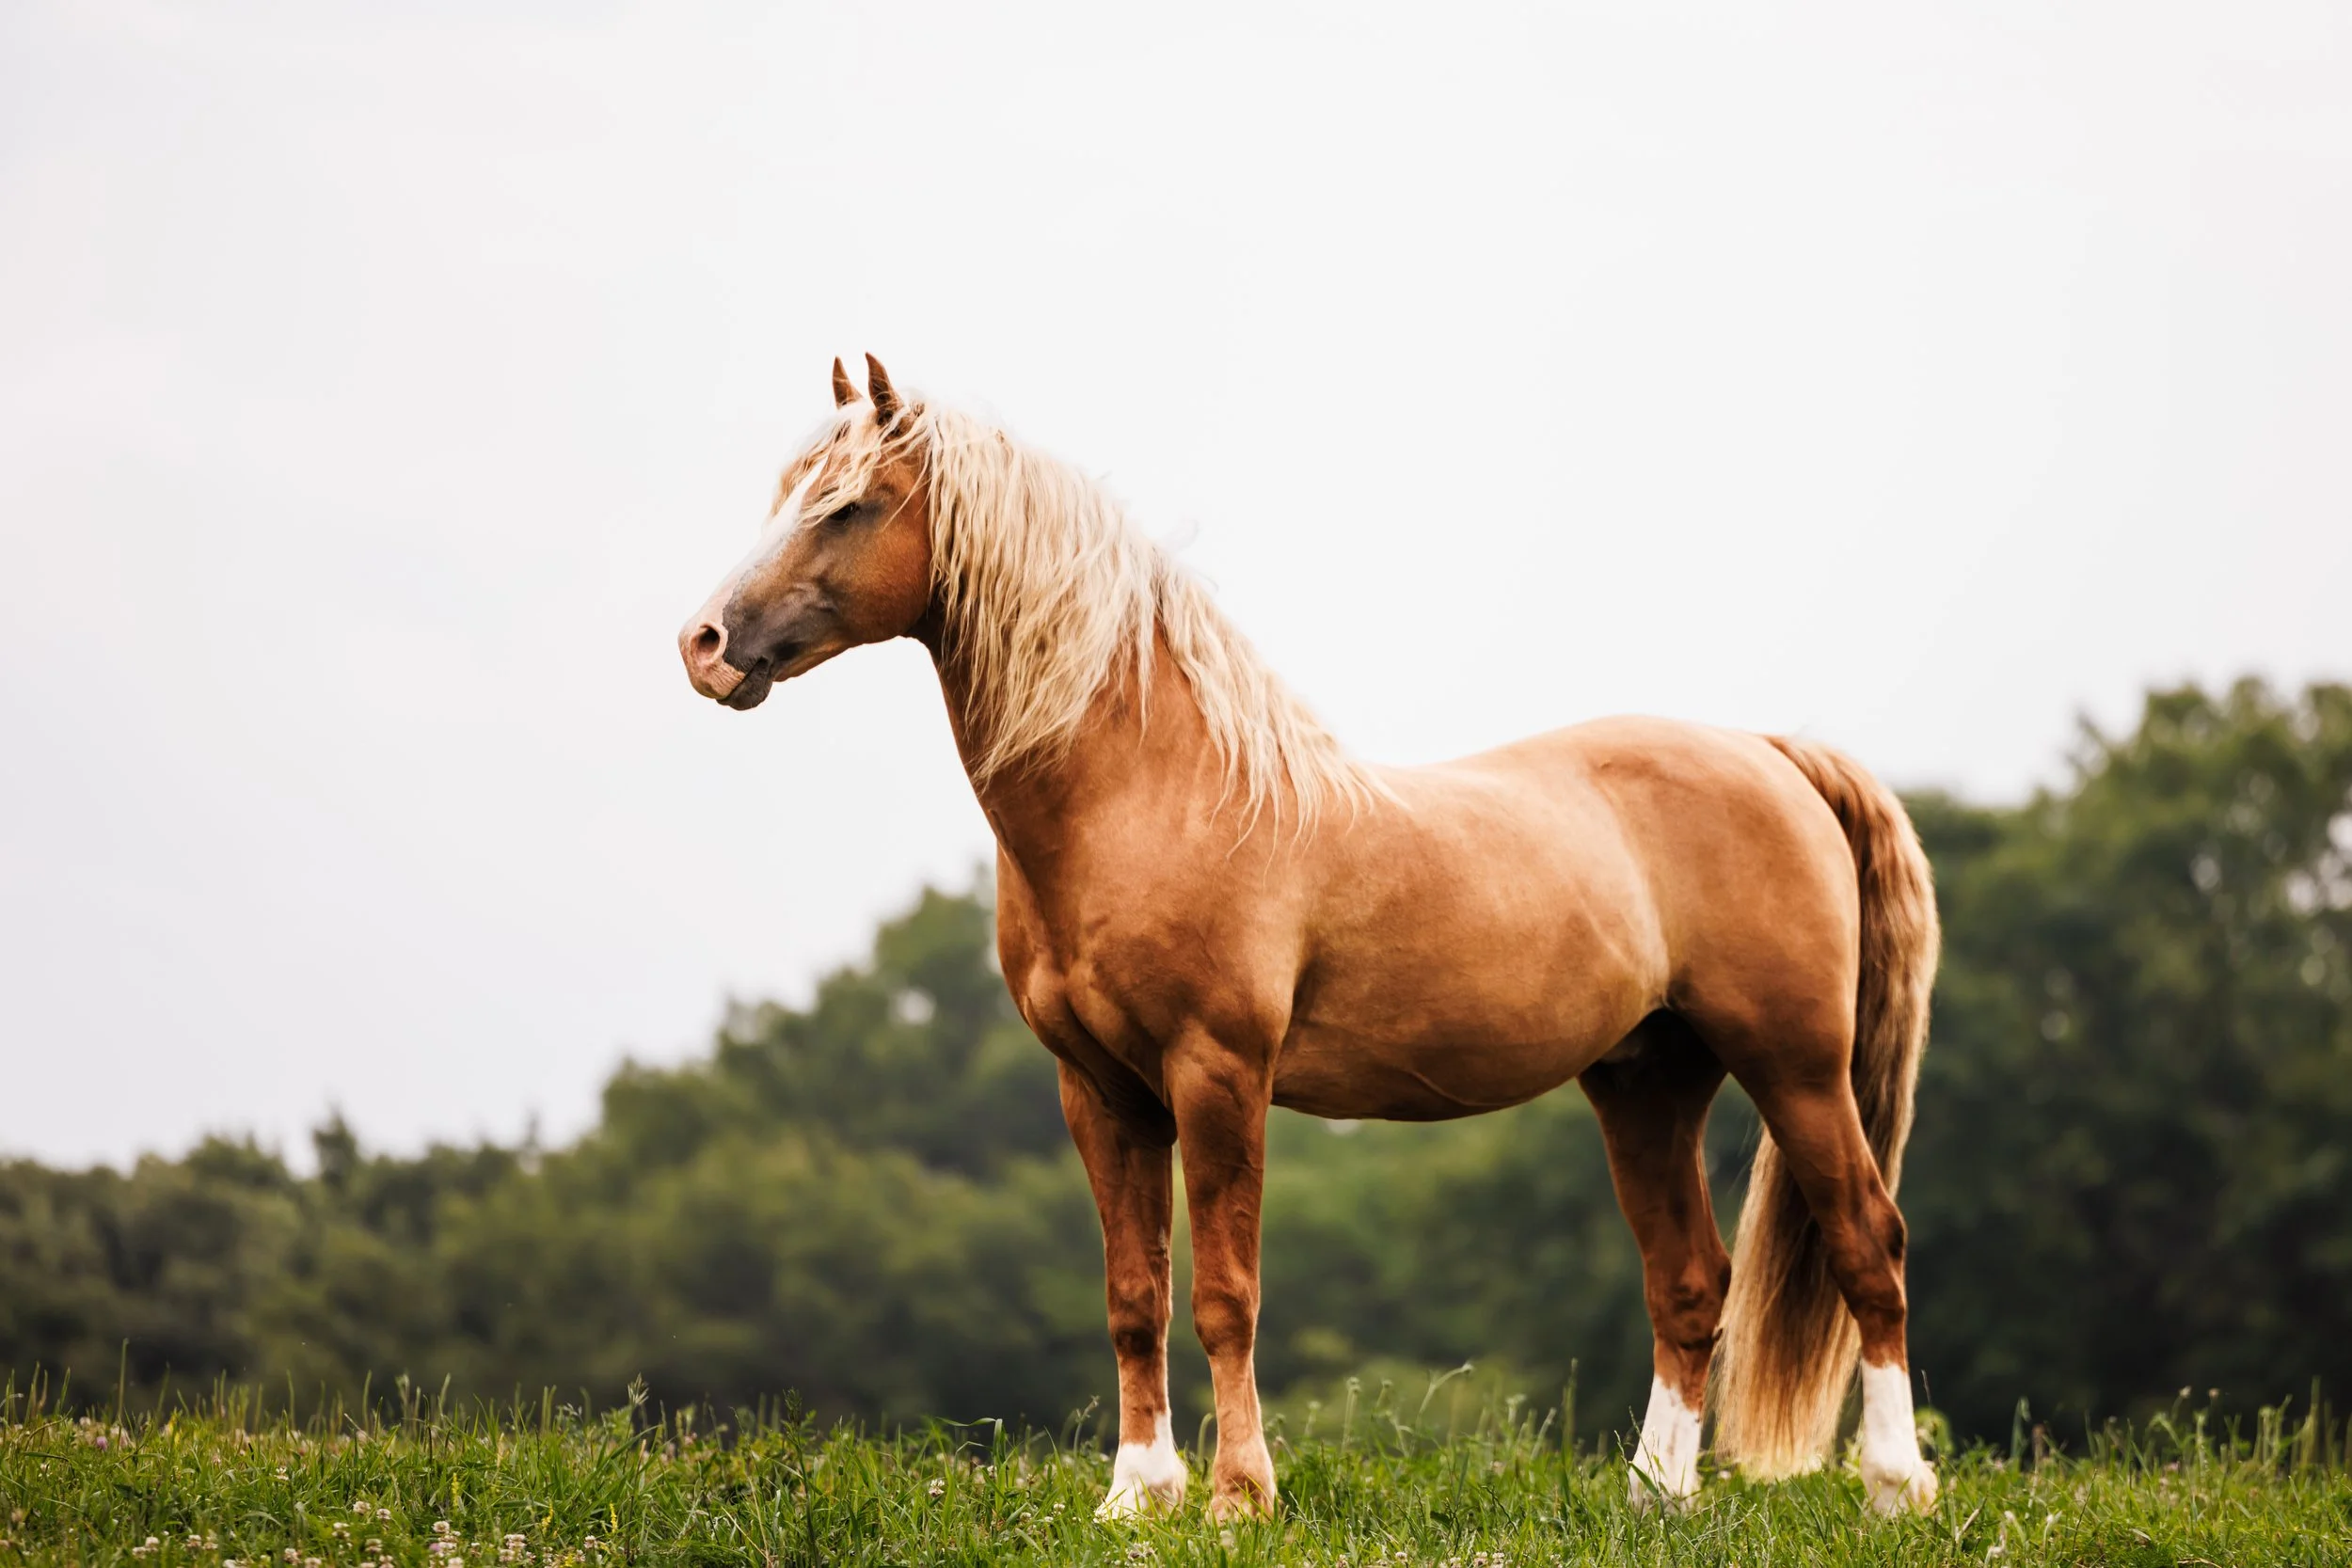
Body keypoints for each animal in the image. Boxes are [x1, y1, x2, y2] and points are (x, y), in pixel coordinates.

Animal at [678, 356, 1941, 1523]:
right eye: (787, 490)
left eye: (848, 504)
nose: (705, 644)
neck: (1152, 790)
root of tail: (1768, 751)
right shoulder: (1099, 1089)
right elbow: (1133, 1293)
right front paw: (1136, 1496)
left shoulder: (1217, 1072)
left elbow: (1225, 1293)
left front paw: (1240, 1494)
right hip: (1647, 1080)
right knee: (1688, 1281)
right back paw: (1654, 1496)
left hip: (1795, 1064)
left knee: (1868, 1241)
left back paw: (1896, 1486)